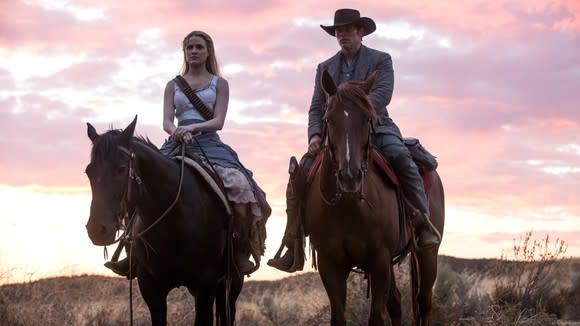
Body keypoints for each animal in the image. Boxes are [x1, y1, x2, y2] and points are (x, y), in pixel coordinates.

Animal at [84, 116, 242, 324]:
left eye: (121, 169)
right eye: (88, 171)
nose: (97, 230)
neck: (175, 225)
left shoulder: (205, 286)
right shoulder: (150, 287)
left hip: (232, 284)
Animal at [306, 70, 446, 324]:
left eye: (366, 118)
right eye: (329, 119)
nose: (349, 176)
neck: (349, 207)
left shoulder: (379, 260)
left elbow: (376, 318)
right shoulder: (330, 265)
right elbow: (339, 317)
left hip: (427, 253)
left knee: (423, 302)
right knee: (397, 303)